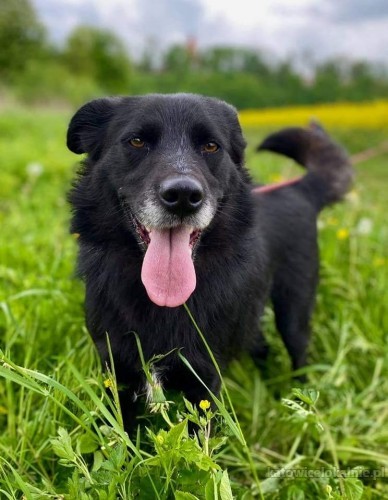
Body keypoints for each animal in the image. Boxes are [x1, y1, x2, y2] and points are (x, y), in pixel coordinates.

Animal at [66, 94, 352, 426]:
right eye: (137, 141)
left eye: (211, 146)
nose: (182, 196)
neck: (163, 301)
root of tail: (299, 188)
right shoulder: (116, 371)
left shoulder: (204, 379)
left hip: (294, 311)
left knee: (299, 354)